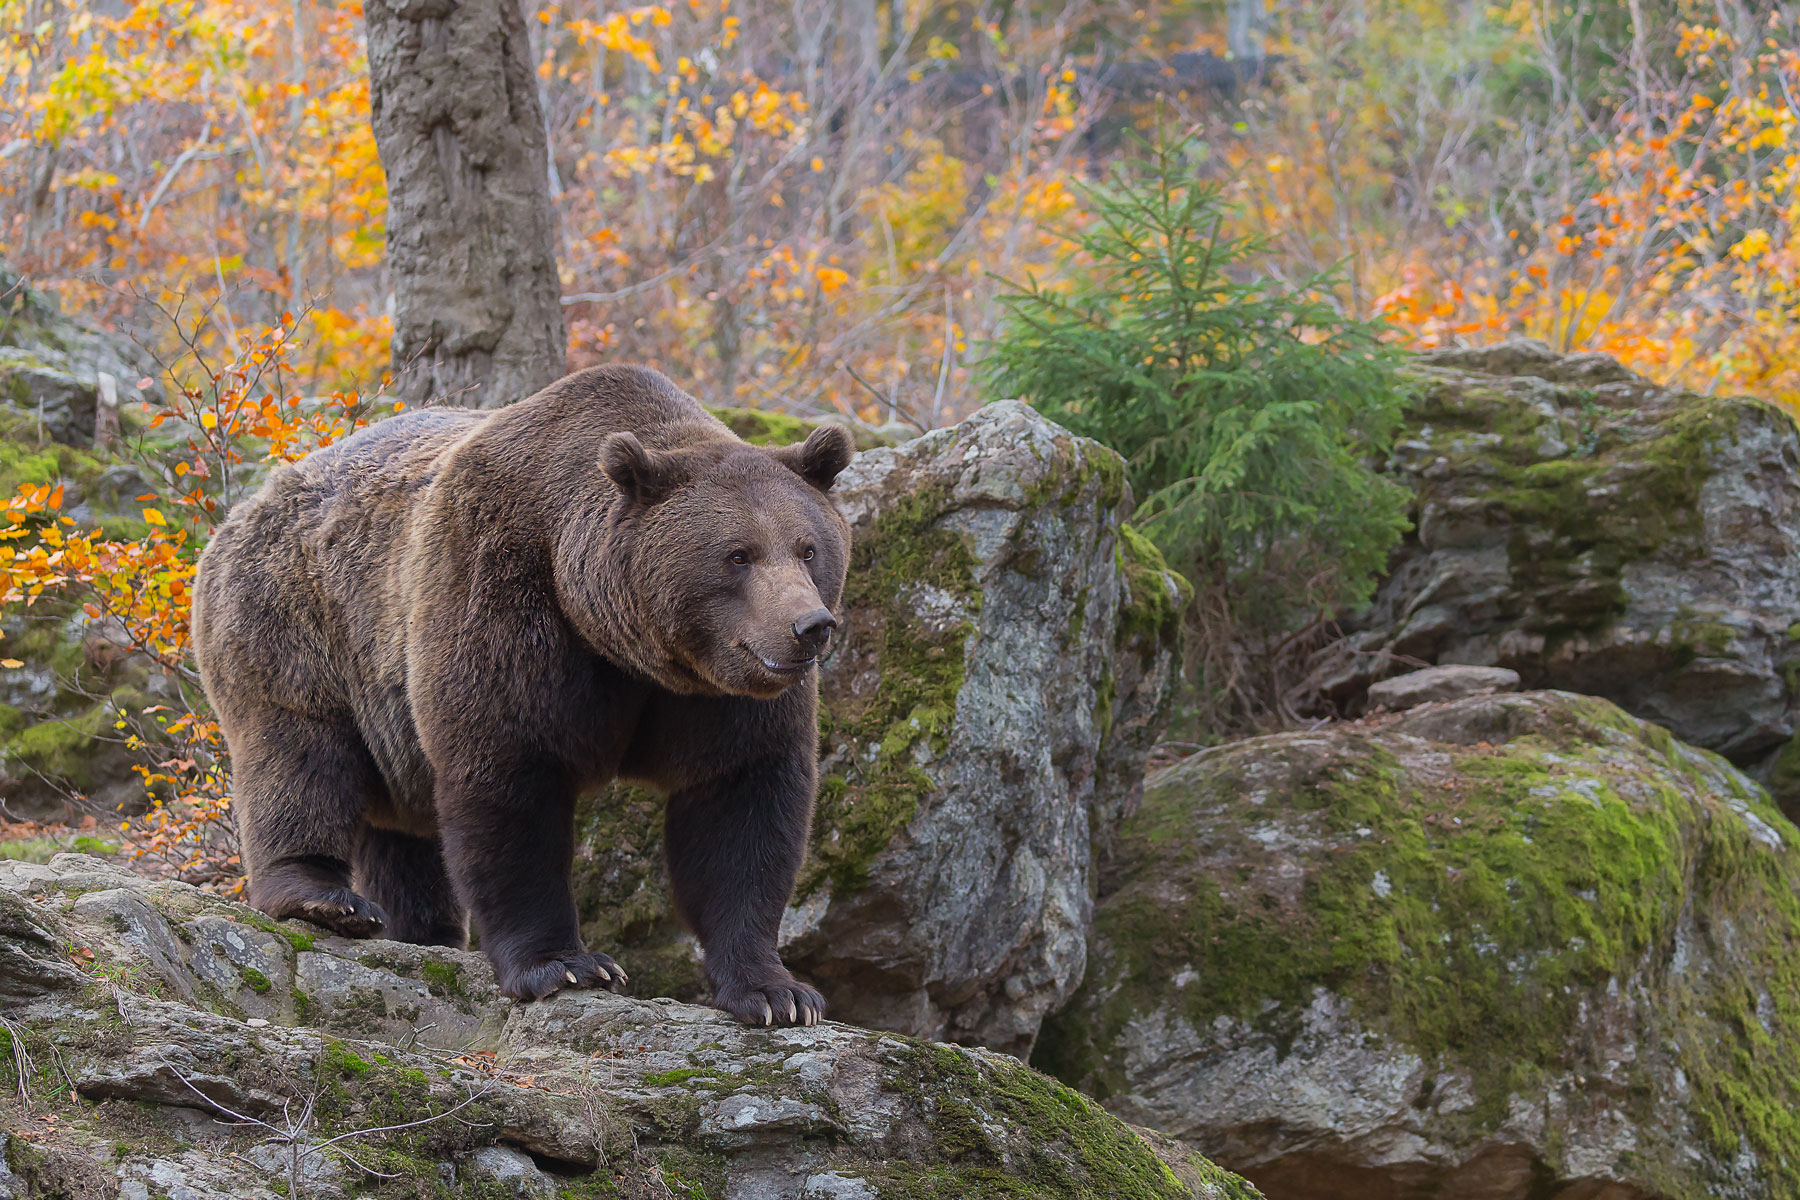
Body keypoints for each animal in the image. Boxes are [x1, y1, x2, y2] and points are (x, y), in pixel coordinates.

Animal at [191, 365, 854, 1026]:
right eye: (738, 555)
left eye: (808, 548)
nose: (809, 626)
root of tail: (245, 505)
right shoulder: (500, 593)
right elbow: (509, 783)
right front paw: (565, 964)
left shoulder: (718, 698)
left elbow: (741, 807)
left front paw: (776, 992)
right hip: (296, 622)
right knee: (299, 755)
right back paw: (324, 898)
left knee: (401, 831)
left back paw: (425, 930)